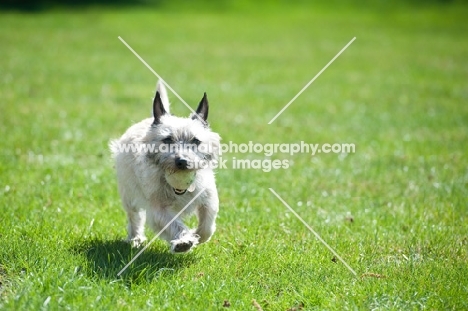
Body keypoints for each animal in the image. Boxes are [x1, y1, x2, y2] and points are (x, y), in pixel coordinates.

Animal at [109, 81, 221, 254]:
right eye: (167, 140)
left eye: (195, 141)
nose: (182, 161)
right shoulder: (159, 209)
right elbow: (174, 224)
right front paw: (184, 241)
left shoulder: (208, 198)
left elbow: (206, 227)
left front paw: (196, 235)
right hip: (128, 195)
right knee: (134, 217)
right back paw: (136, 239)